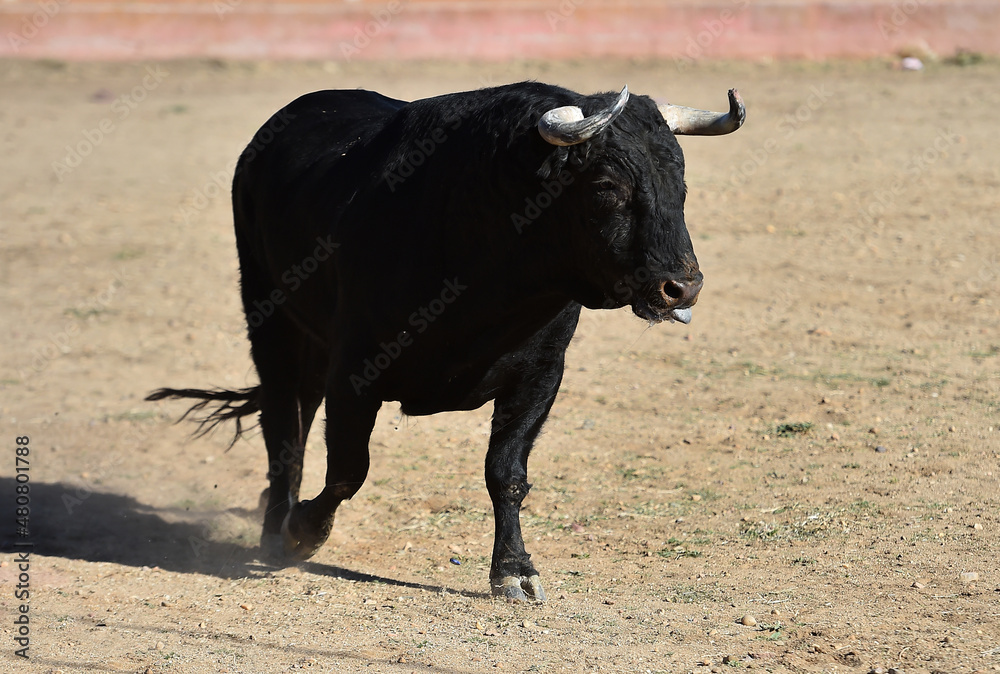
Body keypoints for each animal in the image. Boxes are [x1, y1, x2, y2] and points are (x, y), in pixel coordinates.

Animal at [148, 79, 744, 600]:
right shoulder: (356, 372)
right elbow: (347, 470)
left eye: (681, 186)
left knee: (298, 412)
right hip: (269, 322)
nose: (682, 286)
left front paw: (514, 572)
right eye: (605, 188)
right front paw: (303, 531)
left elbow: (507, 473)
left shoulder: (541, 374)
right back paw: (277, 526)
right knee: (282, 429)